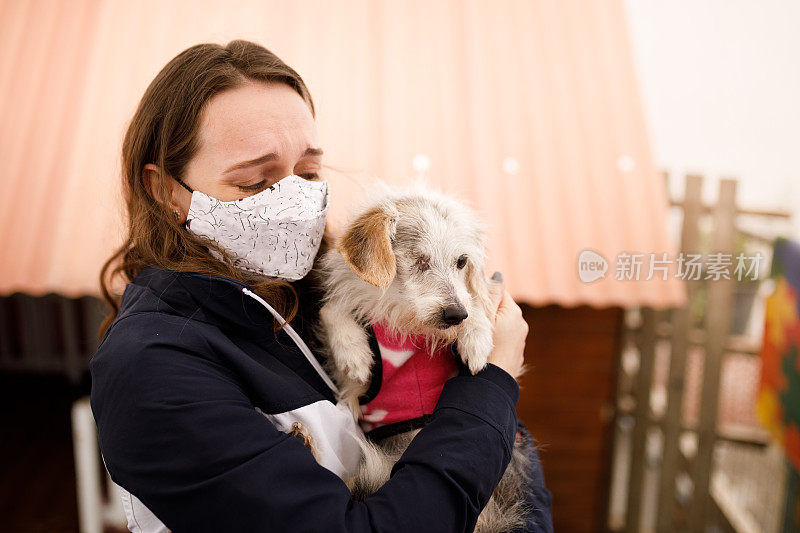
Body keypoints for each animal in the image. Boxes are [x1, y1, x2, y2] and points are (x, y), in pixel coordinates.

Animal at [318, 184, 532, 532]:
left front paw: (476, 339)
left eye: (462, 262)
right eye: (420, 261)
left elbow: (476, 299)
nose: (455, 316)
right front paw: (354, 353)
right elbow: (332, 308)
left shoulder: (468, 299)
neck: (404, 317)